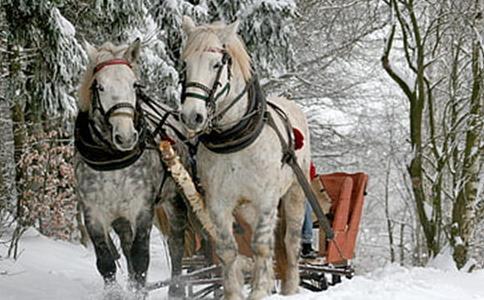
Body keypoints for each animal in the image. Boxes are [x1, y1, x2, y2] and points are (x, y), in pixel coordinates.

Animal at [75, 39, 189, 298]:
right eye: (100, 87)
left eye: (134, 84)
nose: (126, 136)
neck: (112, 161)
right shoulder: (93, 212)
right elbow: (106, 261)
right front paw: (117, 292)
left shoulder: (142, 208)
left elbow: (141, 258)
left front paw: (139, 291)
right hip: (120, 216)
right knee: (126, 246)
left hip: (175, 199)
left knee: (176, 243)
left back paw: (176, 289)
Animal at [180, 17, 312, 300]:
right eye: (185, 64)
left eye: (216, 64)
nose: (191, 116)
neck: (234, 140)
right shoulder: (218, 203)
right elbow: (228, 250)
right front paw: (235, 292)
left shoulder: (266, 200)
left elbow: (261, 246)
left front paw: (260, 290)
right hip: (247, 209)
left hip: (295, 192)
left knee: (290, 241)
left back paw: (290, 287)